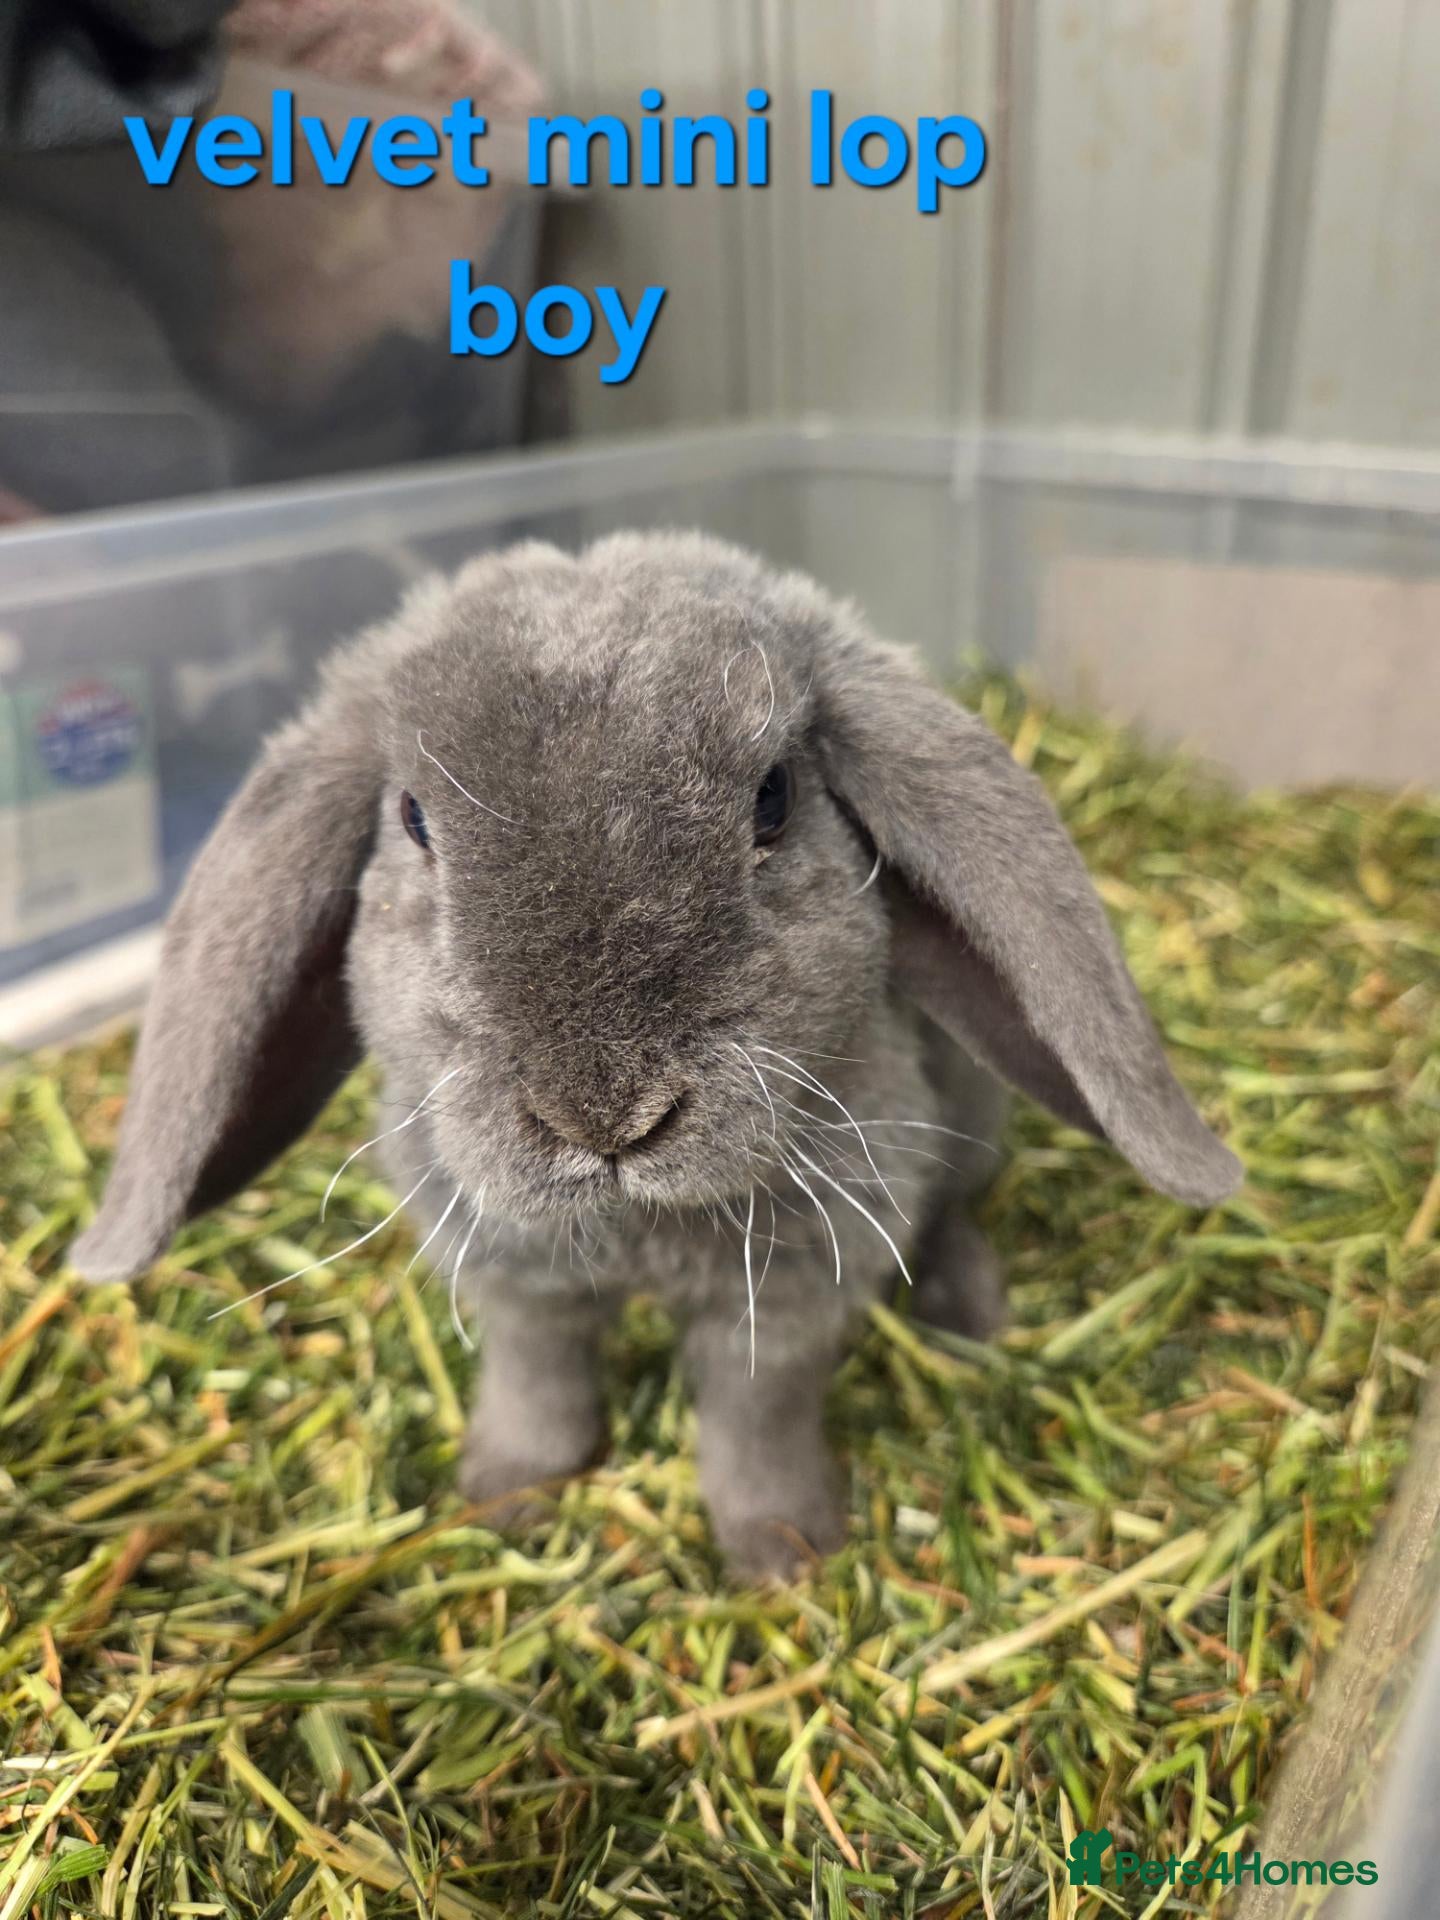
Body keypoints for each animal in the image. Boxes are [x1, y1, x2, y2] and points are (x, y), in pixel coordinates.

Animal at [71, 531, 1241, 1579]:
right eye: (413, 820)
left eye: (774, 798)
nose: (607, 1118)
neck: (634, 1226)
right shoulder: (517, 1288)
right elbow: (539, 1386)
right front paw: (506, 1494)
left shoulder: (789, 1302)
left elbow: (754, 1424)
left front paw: (784, 1555)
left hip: (966, 1126)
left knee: (952, 1208)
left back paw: (967, 1315)